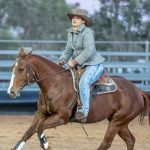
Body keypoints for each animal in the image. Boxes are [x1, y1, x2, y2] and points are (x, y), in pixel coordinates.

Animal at [7, 48, 150, 150]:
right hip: (120, 123)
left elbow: (40, 128)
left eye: (21, 69)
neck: (56, 84)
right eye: (12, 68)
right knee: (130, 140)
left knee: (106, 143)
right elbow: (28, 133)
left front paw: (46, 145)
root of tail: (138, 91)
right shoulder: (41, 114)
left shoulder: (61, 117)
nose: (11, 91)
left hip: (117, 122)